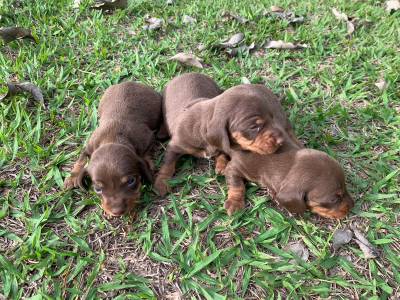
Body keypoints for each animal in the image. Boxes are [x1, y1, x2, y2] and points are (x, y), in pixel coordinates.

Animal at [65, 81, 162, 216]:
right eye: (97, 189)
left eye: (131, 181)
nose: (117, 212)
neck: (113, 137)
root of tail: (131, 82)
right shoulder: (89, 146)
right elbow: (81, 159)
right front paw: (72, 177)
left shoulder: (148, 137)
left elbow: (146, 152)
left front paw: (149, 163)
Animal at [156, 72, 296, 195]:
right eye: (255, 127)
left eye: (272, 118)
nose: (281, 141)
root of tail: (188, 73)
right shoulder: (175, 145)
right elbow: (168, 164)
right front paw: (162, 182)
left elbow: (222, 151)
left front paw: (222, 164)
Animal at [223, 139, 354, 219]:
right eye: (334, 199)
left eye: (345, 186)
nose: (353, 205)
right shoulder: (234, 167)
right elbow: (237, 185)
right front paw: (235, 203)